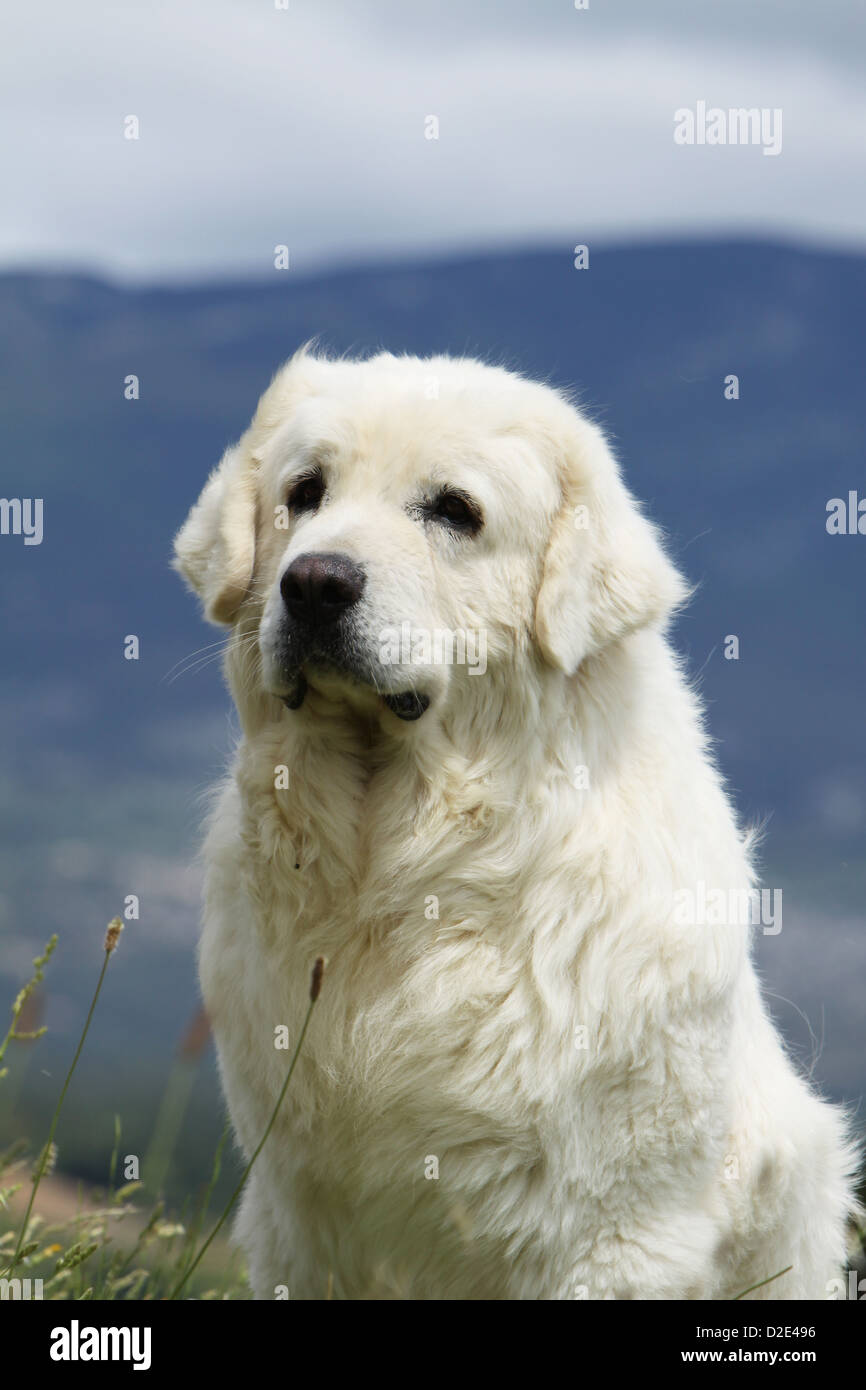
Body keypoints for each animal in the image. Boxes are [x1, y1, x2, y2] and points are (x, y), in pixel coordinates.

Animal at [173, 347, 856, 1301]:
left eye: (454, 511)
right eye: (304, 492)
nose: (312, 582)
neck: (403, 874)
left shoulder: (611, 1234)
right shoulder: (301, 1221)